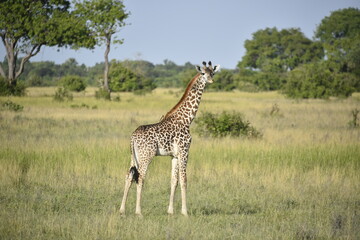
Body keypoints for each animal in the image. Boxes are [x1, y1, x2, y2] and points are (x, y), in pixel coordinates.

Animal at [119, 61, 219, 217]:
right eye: (203, 73)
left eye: (212, 73)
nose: (210, 80)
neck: (187, 119)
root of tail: (133, 137)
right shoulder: (184, 151)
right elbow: (184, 180)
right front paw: (185, 212)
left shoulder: (174, 155)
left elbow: (174, 181)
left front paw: (170, 211)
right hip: (146, 156)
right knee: (140, 178)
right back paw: (138, 212)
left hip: (134, 156)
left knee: (129, 176)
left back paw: (122, 210)